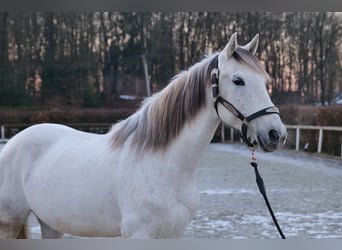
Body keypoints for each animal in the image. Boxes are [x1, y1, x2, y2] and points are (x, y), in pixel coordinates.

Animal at [0, 32, 286, 238]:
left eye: (264, 81)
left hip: (51, 224)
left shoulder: (174, 234)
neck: (161, 164)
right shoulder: (139, 235)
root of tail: (14, 142)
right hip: (9, 222)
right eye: (238, 80)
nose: (276, 134)